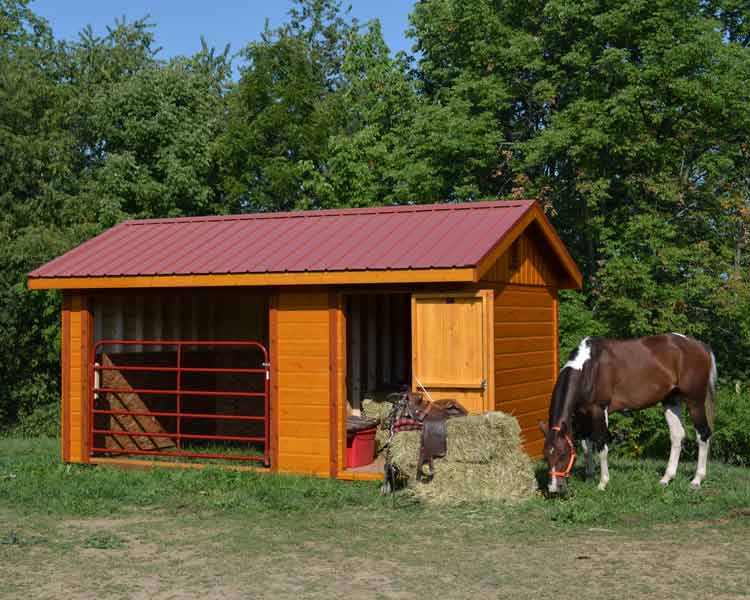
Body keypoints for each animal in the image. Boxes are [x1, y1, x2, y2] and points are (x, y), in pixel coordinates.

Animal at [540, 332, 716, 492]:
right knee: (677, 435)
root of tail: (700, 346)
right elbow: (586, 446)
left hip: (695, 401)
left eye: (563, 454)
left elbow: (601, 446)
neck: (589, 368)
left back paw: (696, 480)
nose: (554, 488)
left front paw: (602, 483)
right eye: (546, 456)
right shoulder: (582, 415)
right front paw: (589, 477)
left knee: (703, 434)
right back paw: (666, 479)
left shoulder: (599, 411)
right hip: (671, 400)